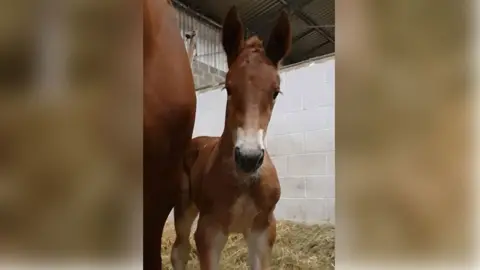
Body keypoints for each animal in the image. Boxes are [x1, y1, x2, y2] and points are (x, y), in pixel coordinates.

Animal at [172, 6, 292, 270]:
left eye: (276, 92)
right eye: (228, 87)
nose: (248, 158)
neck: (244, 181)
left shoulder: (263, 230)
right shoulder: (209, 231)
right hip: (184, 207)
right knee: (179, 250)